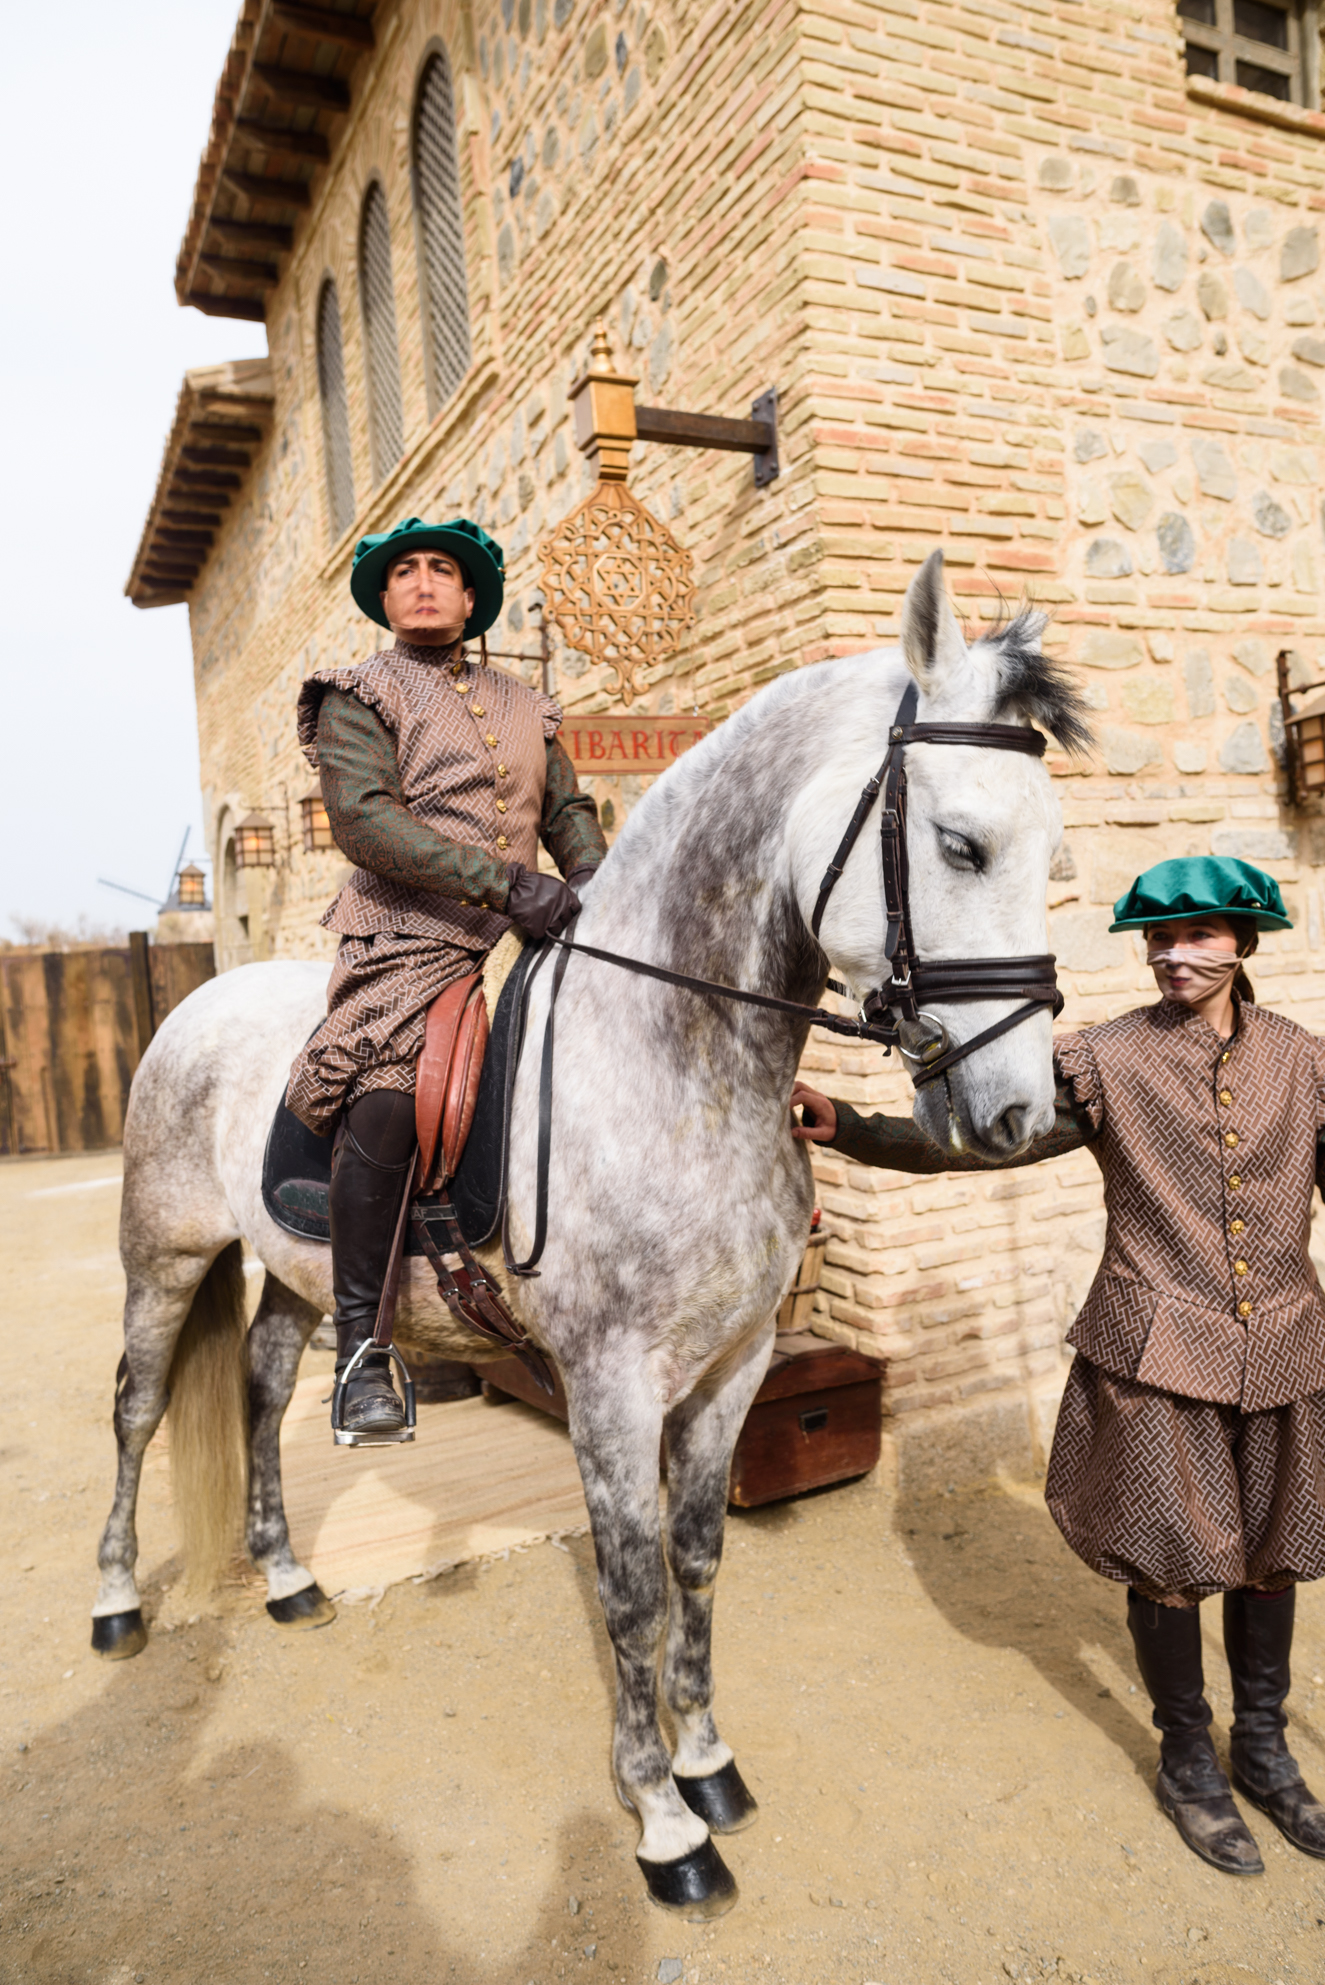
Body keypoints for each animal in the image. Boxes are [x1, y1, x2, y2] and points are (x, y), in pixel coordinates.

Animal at [93, 550, 1088, 1916]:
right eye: (958, 842)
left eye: (1051, 853)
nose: (1014, 1116)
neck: (675, 1059)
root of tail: (206, 995)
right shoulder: (611, 1387)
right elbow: (628, 1593)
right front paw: (665, 1823)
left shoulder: (730, 1371)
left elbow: (698, 1562)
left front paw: (709, 1762)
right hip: (163, 1254)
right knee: (139, 1407)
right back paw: (117, 1601)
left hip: (298, 1276)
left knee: (258, 1385)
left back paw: (289, 1575)